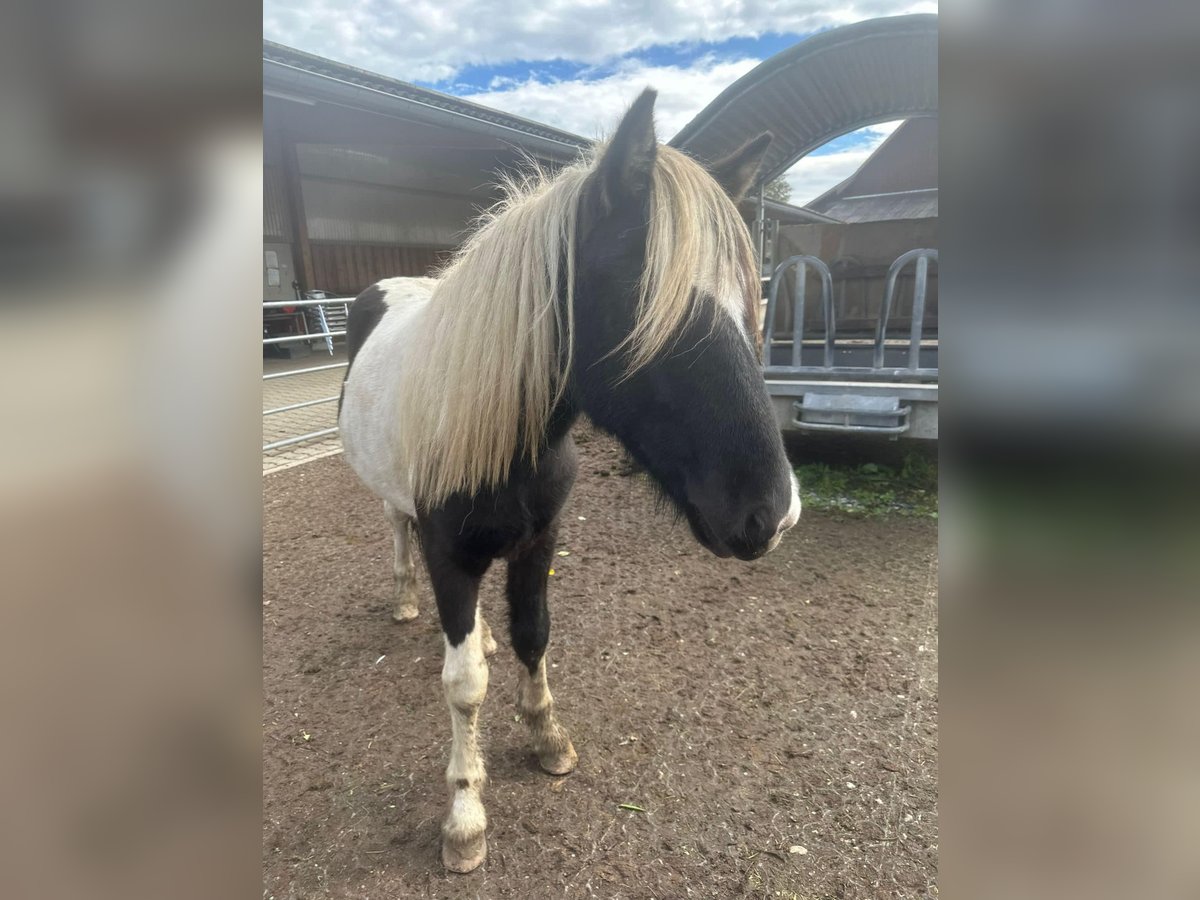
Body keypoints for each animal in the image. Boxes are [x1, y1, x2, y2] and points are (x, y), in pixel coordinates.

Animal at [337, 89, 801, 873]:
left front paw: (547, 735)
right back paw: (404, 601)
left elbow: (534, 636)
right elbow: (463, 687)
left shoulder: (539, 540)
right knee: (397, 533)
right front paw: (465, 815)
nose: (772, 515)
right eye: (648, 306)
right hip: (398, 510)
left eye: (751, 304)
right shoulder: (449, 556)